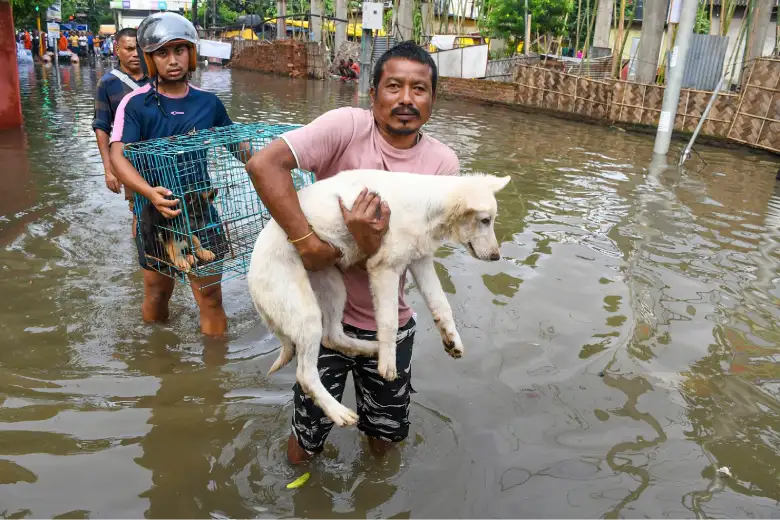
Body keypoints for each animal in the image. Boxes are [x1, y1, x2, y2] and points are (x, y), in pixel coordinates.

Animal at [247, 171, 508, 426]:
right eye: (485, 220)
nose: (497, 257)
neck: (426, 207)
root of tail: (250, 276)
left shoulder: (420, 261)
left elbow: (442, 305)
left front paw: (453, 340)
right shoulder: (384, 268)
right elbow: (389, 321)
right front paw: (388, 364)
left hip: (334, 285)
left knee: (332, 336)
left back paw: (372, 348)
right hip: (306, 313)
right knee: (305, 374)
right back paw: (338, 411)